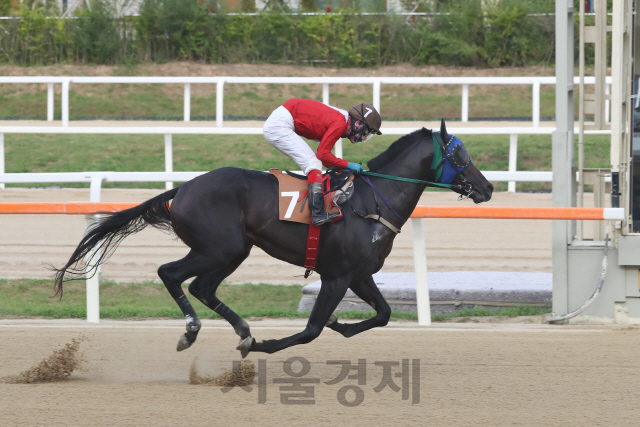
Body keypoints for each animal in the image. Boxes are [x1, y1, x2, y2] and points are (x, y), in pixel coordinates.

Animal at [56, 121, 496, 358]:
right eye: (461, 155)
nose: (488, 187)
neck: (371, 202)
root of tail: (181, 189)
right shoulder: (337, 276)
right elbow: (311, 330)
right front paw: (265, 346)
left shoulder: (359, 275)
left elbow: (384, 314)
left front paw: (340, 324)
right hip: (219, 247)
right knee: (170, 273)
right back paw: (194, 331)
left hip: (234, 250)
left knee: (201, 286)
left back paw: (241, 329)